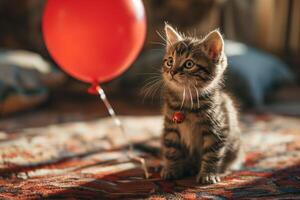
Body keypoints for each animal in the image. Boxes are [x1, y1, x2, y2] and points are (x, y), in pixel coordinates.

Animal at [161, 23, 243, 184]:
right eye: (170, 61)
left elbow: (212, 154)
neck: (187, 102)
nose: (172, 72)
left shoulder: (216, 129)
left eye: (189, 64)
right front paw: (171, 169)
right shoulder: (170, 127)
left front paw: (208, 174)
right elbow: (172, 149)